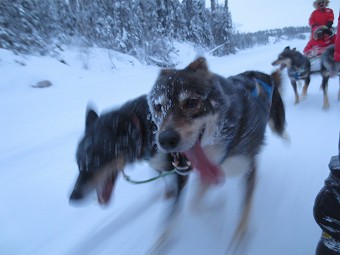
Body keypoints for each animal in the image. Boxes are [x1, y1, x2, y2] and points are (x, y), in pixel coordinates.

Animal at [147, 56, 286, 246]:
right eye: (158, 106)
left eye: (191, 102)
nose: (166, 139)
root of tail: (264, 75)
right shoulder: (207, 171)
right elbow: (193, 206)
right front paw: (214, 212)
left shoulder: (245, 166)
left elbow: (245, 206)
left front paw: (239, 237)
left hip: (276, 123)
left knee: (281, 131)